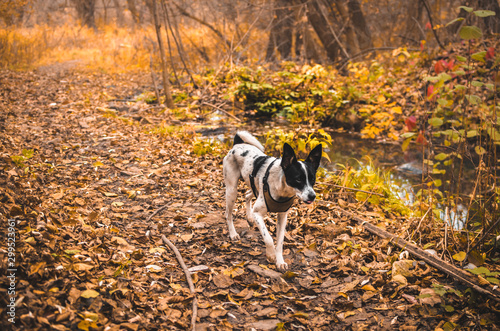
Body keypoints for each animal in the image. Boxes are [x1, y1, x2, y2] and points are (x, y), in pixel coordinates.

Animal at [224, 131, 324, 272]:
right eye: (298, 179)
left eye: (313, 179)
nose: (312, 196)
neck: (282, 190)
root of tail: (237, 144)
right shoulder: (258, 214)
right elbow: (269, 238)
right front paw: (271, 255)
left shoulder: (283, 216)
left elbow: (280, 241)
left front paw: (280, 261)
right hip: (231, 190)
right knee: (228, 214)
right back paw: (233, 233)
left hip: (253, 186)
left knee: (247, 195)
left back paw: (249, 217)